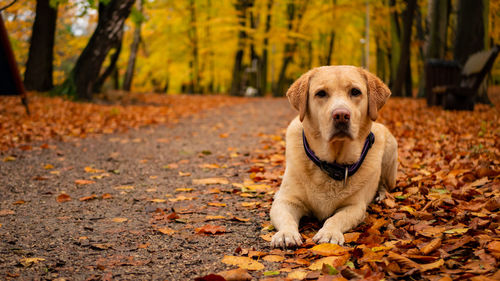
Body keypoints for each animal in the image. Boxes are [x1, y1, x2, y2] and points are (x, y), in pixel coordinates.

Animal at [272, 64, 396, 246]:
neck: (332, 164)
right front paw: (286, 234)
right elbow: (286, 216)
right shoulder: (286, 201)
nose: (341, 115)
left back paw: (380, 195)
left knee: (384, 185)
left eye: (355, 92)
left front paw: (329, 233)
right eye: (321, 93)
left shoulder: (355, 207)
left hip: (390, 154)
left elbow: (336, 218)